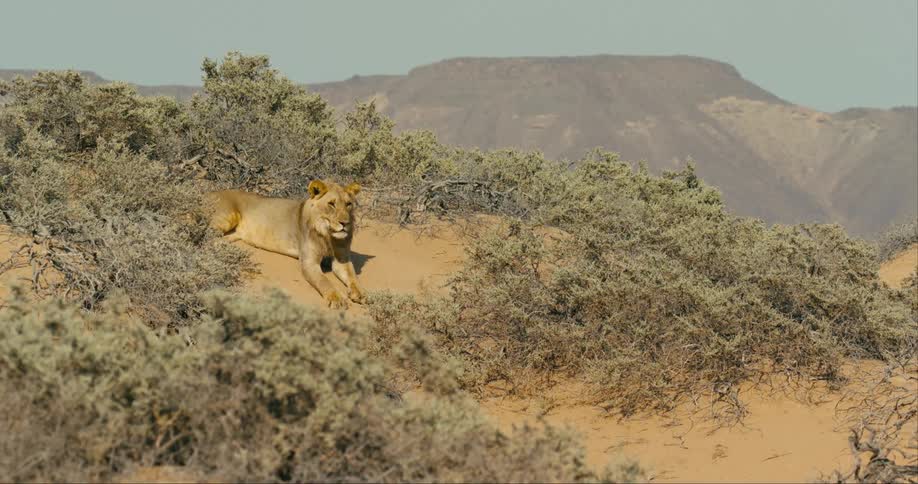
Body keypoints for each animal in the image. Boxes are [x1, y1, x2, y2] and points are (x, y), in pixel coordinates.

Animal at [208, 179, 365, 309]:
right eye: (331, 204)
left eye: (348, 204)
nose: (345, 223)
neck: (328, 236)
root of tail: (209, 192)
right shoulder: (309, 262)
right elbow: (324, 281)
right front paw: (336, 298)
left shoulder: (341, 259)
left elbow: (353, 277)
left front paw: (362, 294)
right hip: (226, 218)